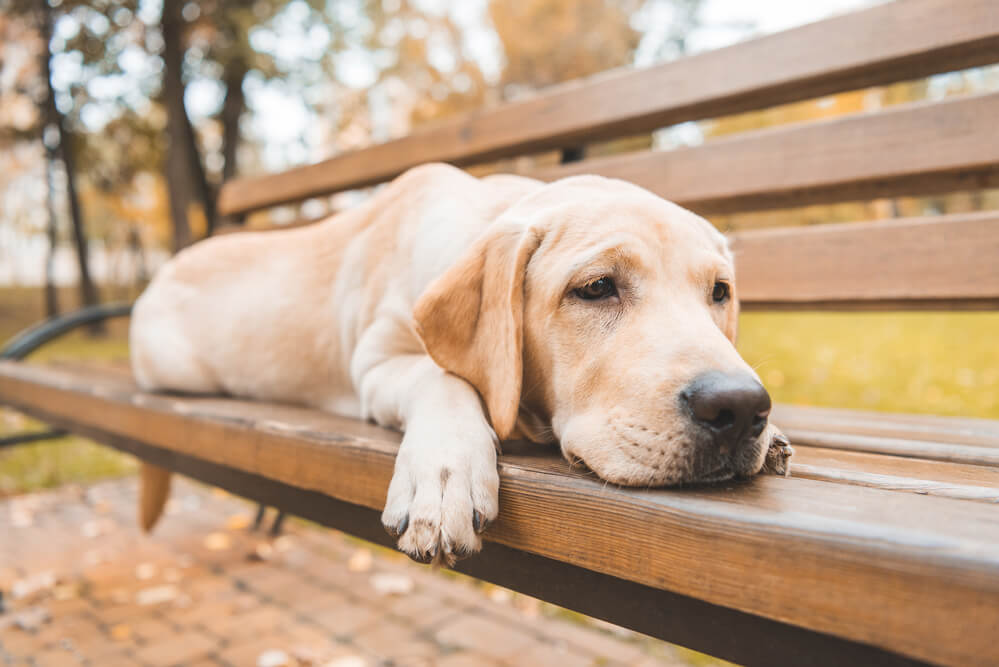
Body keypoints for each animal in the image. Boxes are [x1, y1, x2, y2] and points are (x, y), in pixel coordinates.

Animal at [131, 162, 788, 564]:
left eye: (720, 292)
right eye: (597, 287)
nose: (738, 407)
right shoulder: (377, 362)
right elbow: (441, 374)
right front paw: (442, 475)